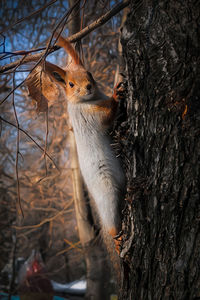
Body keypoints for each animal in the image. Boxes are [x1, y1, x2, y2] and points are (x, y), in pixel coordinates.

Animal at [27, 36, 126, 254]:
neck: (91, 100)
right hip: (105, 190)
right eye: (70, 84)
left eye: (89, 73)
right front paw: (116, 94)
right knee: (112, 223)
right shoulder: (88, 117)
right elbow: (106, 117)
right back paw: (117, 238)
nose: (88, 86)